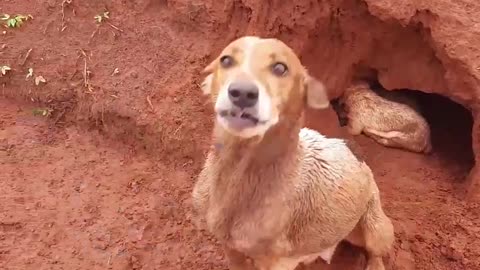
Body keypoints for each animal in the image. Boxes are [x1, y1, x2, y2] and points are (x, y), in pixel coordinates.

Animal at [191, 36, 394, 270]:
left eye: (280, 68)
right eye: (226, 60)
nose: (242, 92)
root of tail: (351, 147)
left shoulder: (277, 263)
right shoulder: (229, 247)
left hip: (376, 228)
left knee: (376, 252)